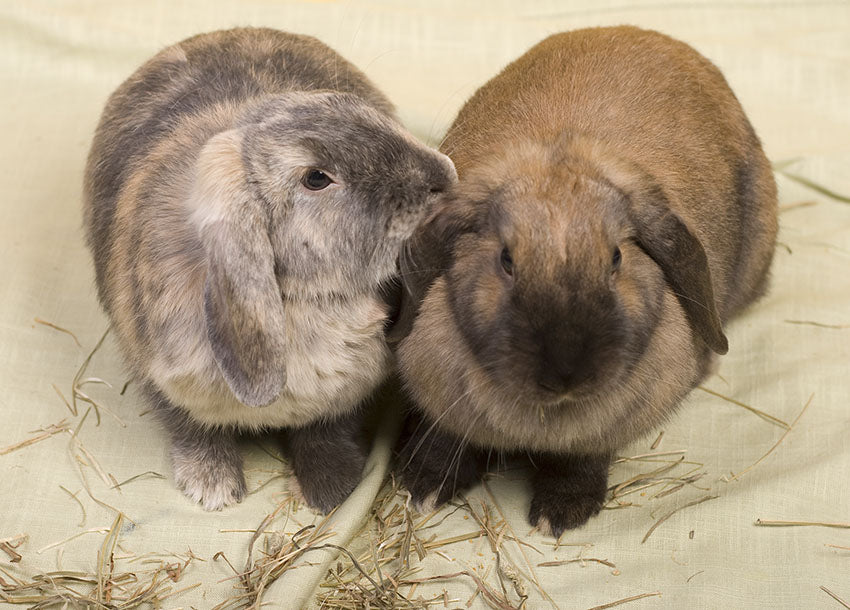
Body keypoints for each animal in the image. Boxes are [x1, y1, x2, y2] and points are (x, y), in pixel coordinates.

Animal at [84, 28, 458, 512]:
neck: (305, 299)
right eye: (316, 178)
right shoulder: (161, 376)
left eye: (355, 109)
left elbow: (326, 431)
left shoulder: (343, 397)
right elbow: (190, 426)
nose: (444, 176)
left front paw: (332, 489)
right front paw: (213, 486)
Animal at [390, 26, 776, 536]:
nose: (565, 375)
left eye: (616, 258)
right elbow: (445, 438)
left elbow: (581, 462)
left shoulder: (596, 437)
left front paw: (560, 514)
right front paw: (423, 484)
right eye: (506, 259)